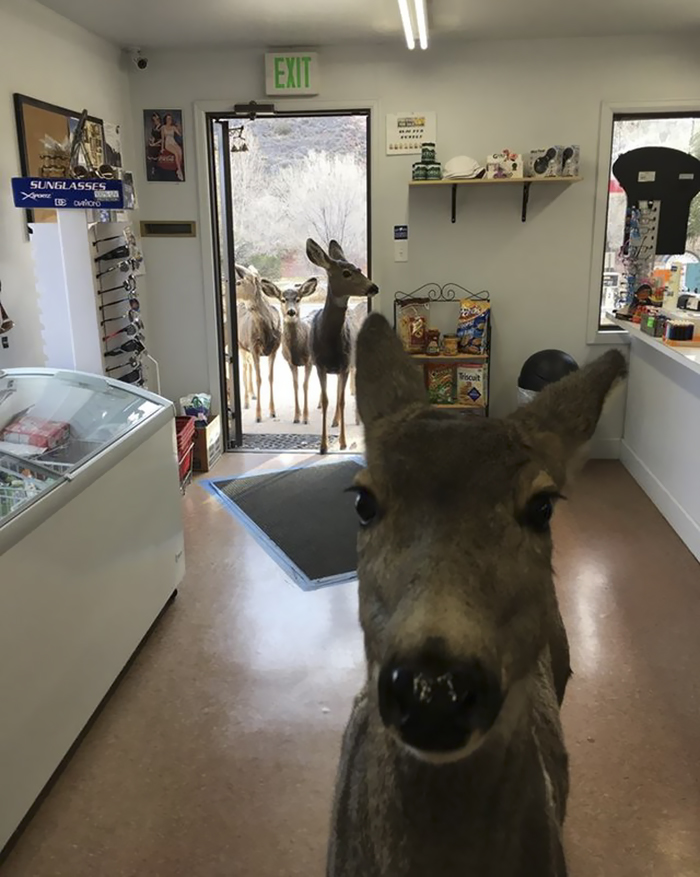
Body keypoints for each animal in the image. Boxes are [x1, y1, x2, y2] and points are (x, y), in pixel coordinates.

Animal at [235, 264, 281, 423]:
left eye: (239, 282)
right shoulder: (253, 347)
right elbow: (258, 379)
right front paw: (258, 415)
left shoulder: (274, 350)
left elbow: (270, 378)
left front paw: (273, 412)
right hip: (240, 346)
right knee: (244, 367)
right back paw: (246, 401)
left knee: (248, 366)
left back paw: (252, 394)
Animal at [260, 277, 318, 424]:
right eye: (282, 299)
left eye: (298, 299)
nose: (291, 312)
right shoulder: (290, 362)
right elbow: (295, 385)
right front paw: (296, 417)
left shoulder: (308, 361)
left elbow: (305, 385)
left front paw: (306, 417)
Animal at [305, 239, 378, 454]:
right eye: (346, 273)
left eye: (359, 269)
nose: (373, 287)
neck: (329, 341)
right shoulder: (320, 365)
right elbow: (326, 400)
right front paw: (323, 446)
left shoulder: (345, 365)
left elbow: (343, 400)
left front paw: (344, 442)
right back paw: (335, 422)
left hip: (350, 363)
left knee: (343, 394)